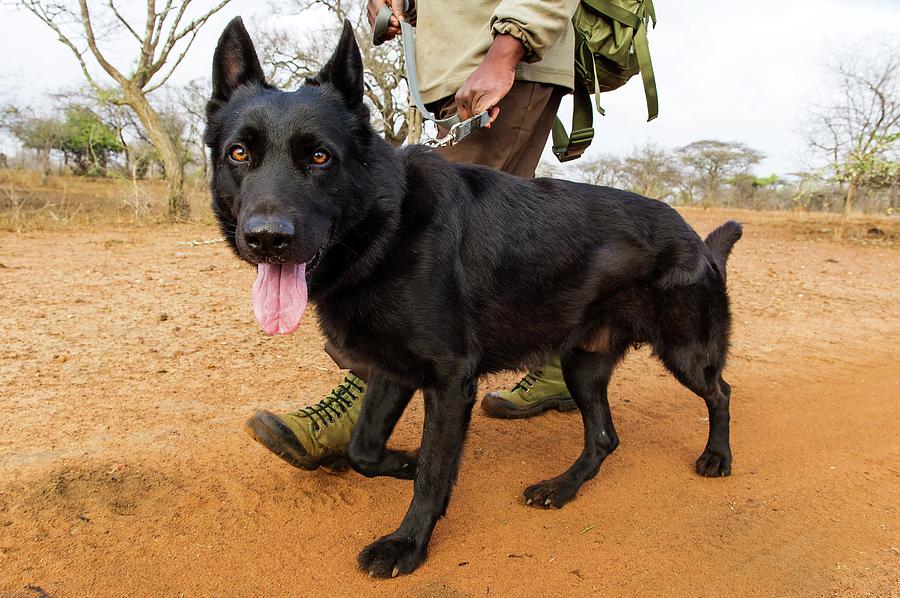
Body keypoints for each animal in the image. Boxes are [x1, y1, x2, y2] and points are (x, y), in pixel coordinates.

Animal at [207, 18, 740, 580]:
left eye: (319, 157)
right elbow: (363, 448)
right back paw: (562, 487)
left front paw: (407, 544)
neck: (388, 226)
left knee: (720, 393)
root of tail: (696, 237)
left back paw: (717, 457)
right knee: (604, 437)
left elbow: (433, 475)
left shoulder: (450, 381)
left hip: (686, 352)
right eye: (239, 154)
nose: (267, 238)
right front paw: (403, 461)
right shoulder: (394, 368)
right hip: (582, 364)